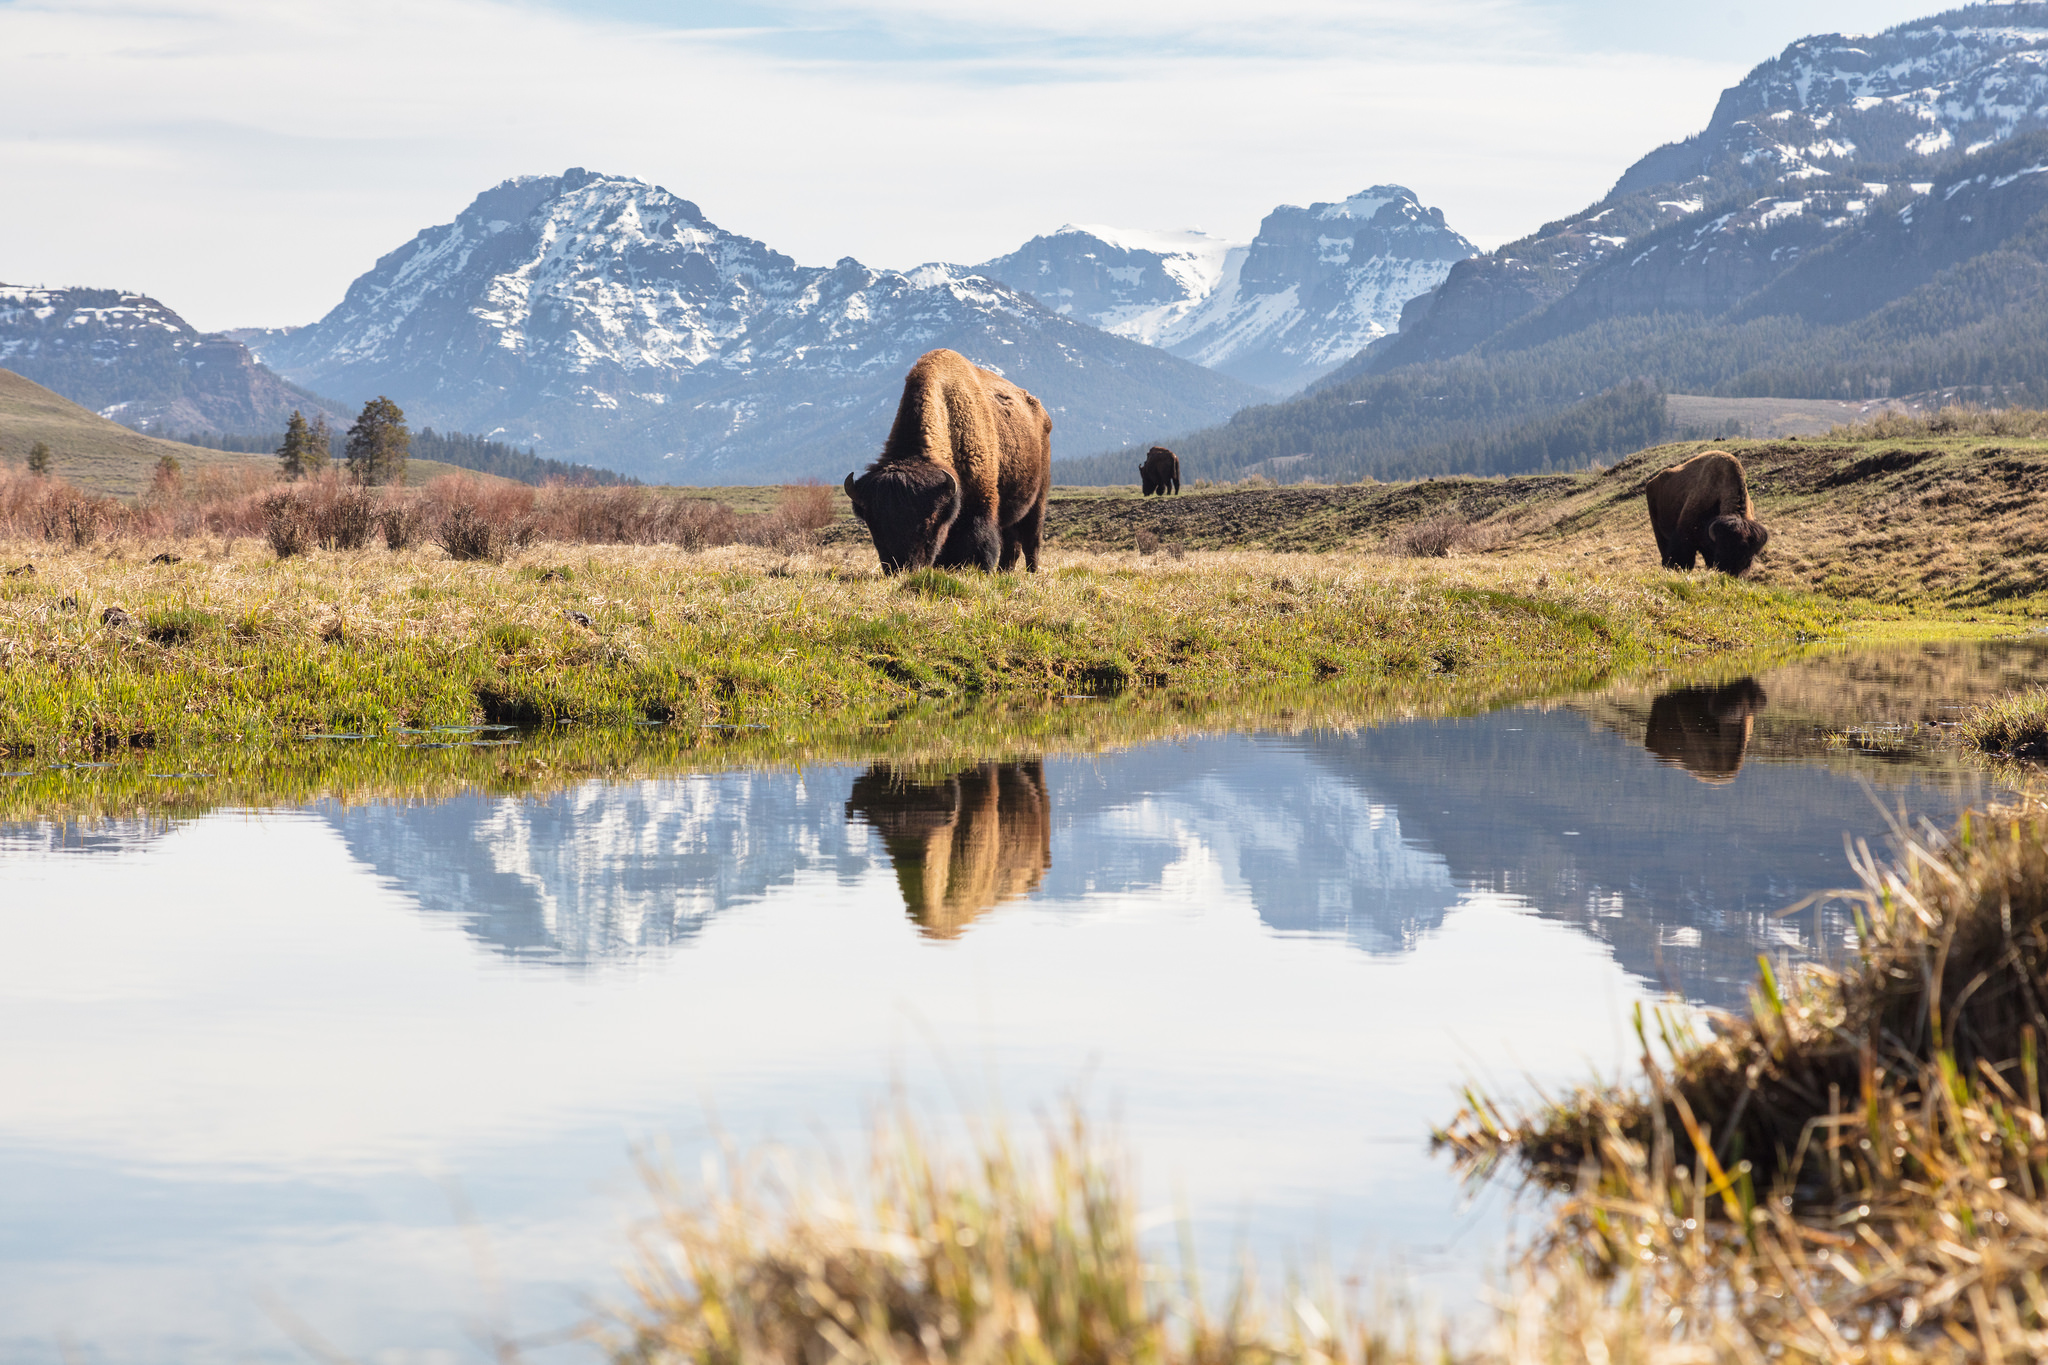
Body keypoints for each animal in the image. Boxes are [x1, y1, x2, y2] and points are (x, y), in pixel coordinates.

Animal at [839, 349, 1048, 573]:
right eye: (874, 526)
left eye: (928, 523)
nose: (903, 568)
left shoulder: (982, 502)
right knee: (1012, 544)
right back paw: (1004, 571)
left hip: (1038, 500)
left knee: (1031, 541)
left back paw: (1031, 572)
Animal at [1638, 450, 1769, 573]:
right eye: (1721, 550)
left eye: (1748, 558)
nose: (1730, 572)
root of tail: (1651, 483)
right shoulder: (1684, 537)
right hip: (1657, 528)